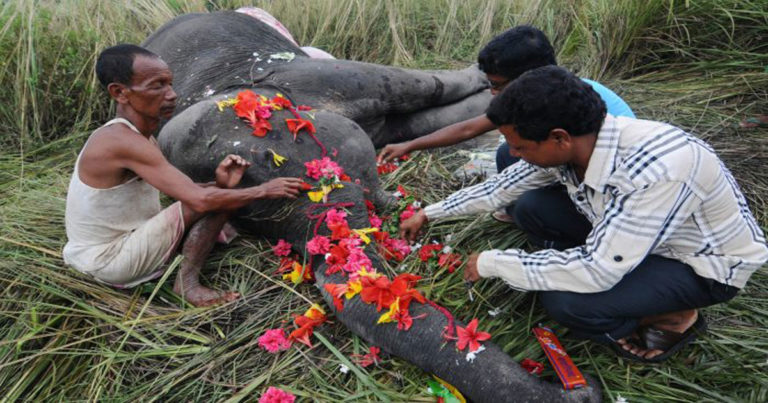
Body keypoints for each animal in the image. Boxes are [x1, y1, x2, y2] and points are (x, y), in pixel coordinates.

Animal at [142, 11, 600, 402]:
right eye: (251, 215)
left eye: (271, 166)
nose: (580, 391)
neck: (226, 90)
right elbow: (418, 122)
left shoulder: (310, 76)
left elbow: (417, 86)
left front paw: (495, 85)